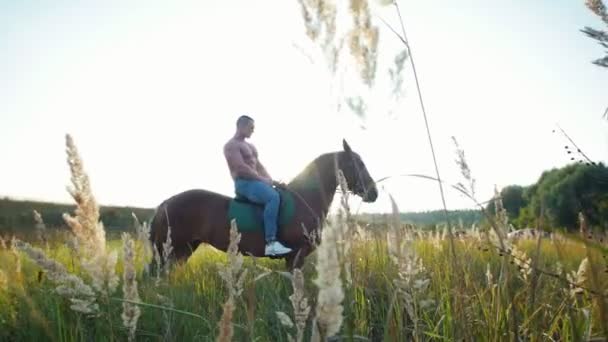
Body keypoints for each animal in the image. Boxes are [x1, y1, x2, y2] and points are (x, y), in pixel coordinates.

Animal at [148, 139, 376, 270]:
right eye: (357, 163)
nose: (374, 193)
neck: (303, 200)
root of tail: (164, 204)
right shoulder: (296, 257)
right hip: (172, 249)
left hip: (183, 249)